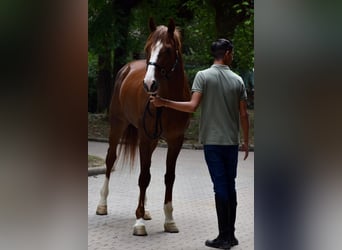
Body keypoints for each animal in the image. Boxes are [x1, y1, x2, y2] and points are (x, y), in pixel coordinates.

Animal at [96, 18, 191, 236]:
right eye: (148, 48)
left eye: (167, 50)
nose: (149, 84)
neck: (168, 101)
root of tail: (127, 68)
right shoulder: (145, 138)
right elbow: (144, 177)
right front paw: (138, 222)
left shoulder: (175, 140)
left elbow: (168, 177)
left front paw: (169, 220)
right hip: (118, 126)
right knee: (110, 160)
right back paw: (102, 205)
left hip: (151, 139)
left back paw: (145, 210)